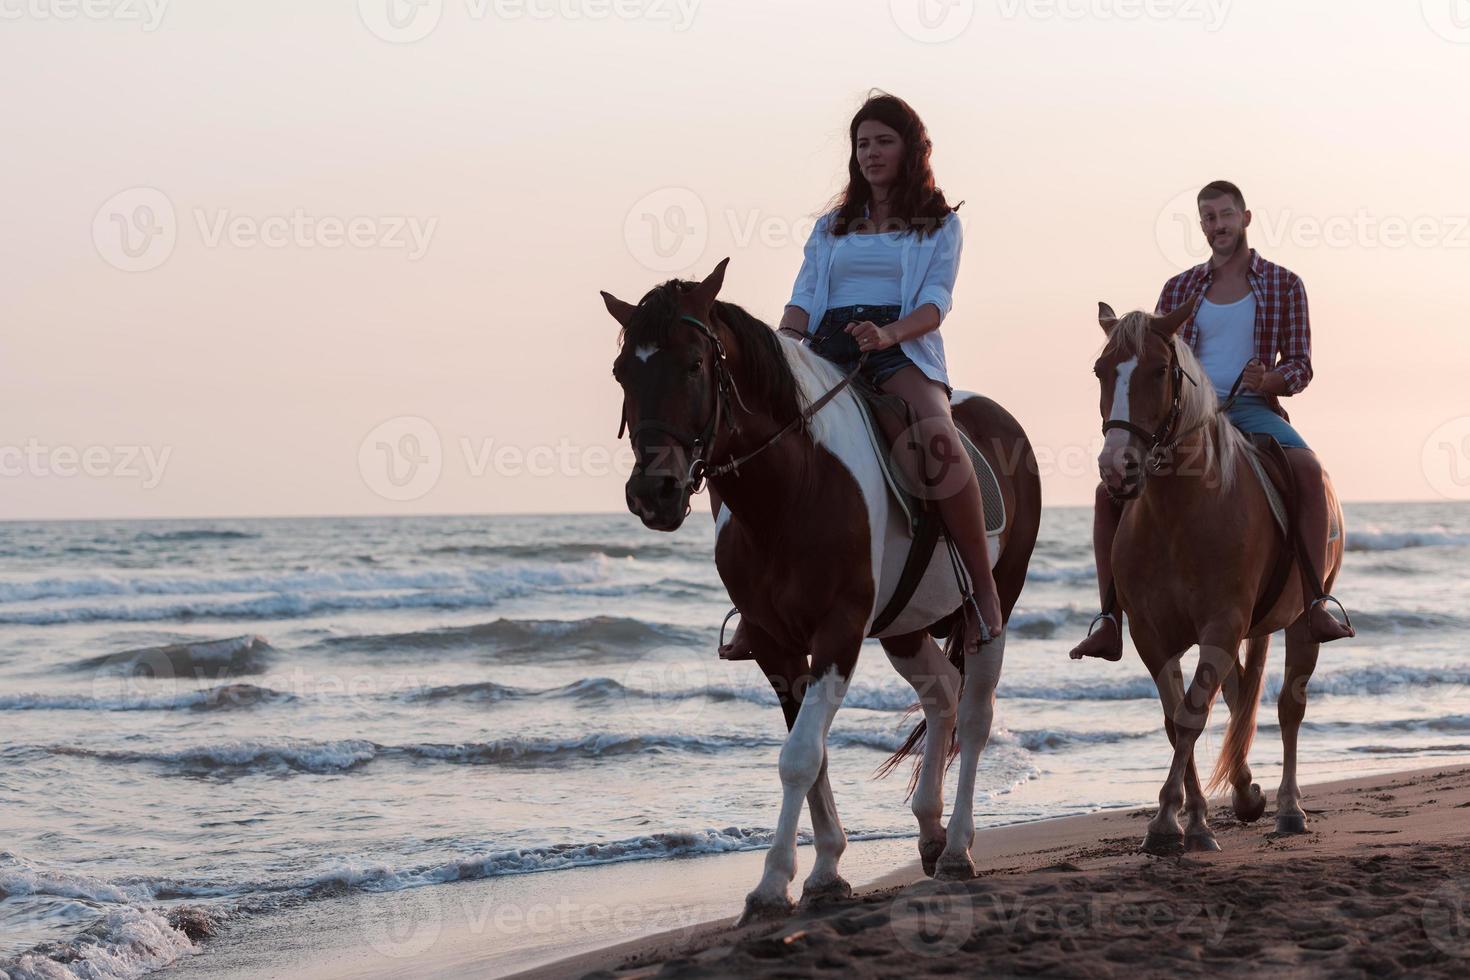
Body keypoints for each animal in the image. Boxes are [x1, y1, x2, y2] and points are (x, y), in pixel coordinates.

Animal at [602, 260, 1040, 922]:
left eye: (694, 365)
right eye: (623, 371)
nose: (654, 492)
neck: (792, 490)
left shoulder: (839, 630)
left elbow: (800, 757)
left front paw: (773, 885)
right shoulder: (776, 645)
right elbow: (809, 754)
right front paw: (824, 871)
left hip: (990, 605)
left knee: (974, 713)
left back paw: (960, 849)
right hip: (905, 625)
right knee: (941, 694)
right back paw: (930, 833)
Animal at [1093, 302, 1346, 852]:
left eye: (1158, 371)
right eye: (1101, 371)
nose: (1117, 468)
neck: (1178, 515)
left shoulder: (1222, 624)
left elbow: (1192, 714)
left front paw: (1168, 823)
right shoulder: (1152, 634)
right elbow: (1177, 719)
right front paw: (1191, 820)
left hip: (1299, 622)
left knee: (1289, 707)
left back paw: (1289, 809)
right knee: (1236, 697)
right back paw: (1248, 793)